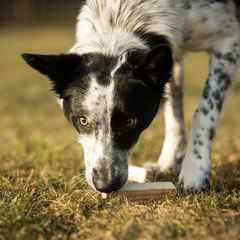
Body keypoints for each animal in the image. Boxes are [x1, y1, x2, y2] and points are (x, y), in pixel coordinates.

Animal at [21, 0, 239, 193]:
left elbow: (203, 112)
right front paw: (168, 163)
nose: (105, 185)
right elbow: (174, 111)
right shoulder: (172, 60)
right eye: (82, 121)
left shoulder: (228, 42)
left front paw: (195, 169)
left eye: (130, 121)